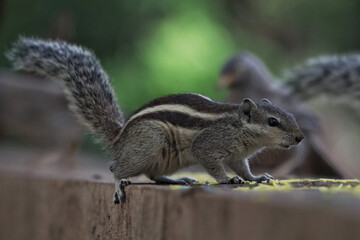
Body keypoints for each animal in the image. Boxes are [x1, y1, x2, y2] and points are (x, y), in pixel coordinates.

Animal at [6, 37, 304, 202]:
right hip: (150, 140)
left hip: (165, 156)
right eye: (273, 122)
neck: (240, 129)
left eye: (291, 115)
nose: (300, 137)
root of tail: (120, 137)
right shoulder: (209, 144)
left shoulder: (238, 156)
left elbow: (244, 169)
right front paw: (227, 180)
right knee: (116, 167)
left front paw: (256, 177)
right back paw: (119, 184)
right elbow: (214, 164)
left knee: (154, 174)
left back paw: (177, 181)